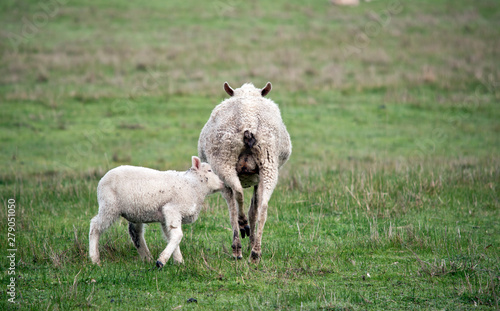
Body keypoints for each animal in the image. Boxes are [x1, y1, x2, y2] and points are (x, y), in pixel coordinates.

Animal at [89, 157, 224, 266]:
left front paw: (179, 262)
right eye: (209, 170)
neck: (192, 185)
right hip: (109, 206)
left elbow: (171, 236)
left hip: (134, 212)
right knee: (95, 226)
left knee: (135, 233)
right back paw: (95, 259)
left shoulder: (165, 217)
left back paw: (146, 258)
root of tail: (102, 179)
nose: (223, 183)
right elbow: (177, 235)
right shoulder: (172, 209)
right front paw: (162, 261)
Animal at [197, 82, 292, 264]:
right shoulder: (257, 179)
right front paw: (251, 243)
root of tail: (248, 121)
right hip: (268, 163)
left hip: (223, 161)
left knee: (237, 196)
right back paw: (255, 252)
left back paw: (239, 240)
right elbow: (254, 211)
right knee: (263, 207)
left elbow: (235, 209)